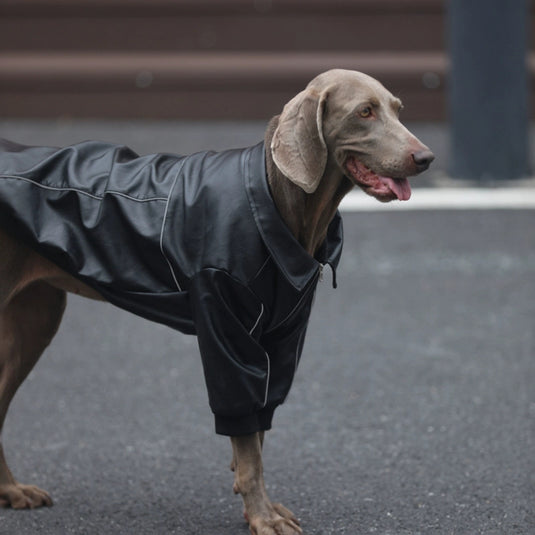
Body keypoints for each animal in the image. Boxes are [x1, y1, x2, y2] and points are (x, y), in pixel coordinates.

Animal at [0, 69, 434, 532]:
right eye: (364, 112)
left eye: (398, 110)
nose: (426, 157)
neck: (278, 199)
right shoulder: (228, 332)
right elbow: (246, 439)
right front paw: (262, 516)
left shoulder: (281, 339)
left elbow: (258, 430)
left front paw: (257, 508)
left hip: (37, 320)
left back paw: (11, 490)